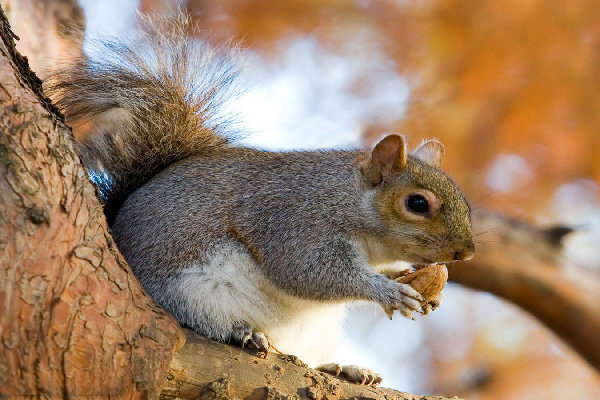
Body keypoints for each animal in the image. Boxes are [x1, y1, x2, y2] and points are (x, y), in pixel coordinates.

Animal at [48, 14, 474, 384]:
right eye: (417, 204)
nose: (466, 252)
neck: (349, 202)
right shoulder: (295, 220)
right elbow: (308, 271)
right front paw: (387, 291)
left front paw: (414, 284)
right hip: (189, 292)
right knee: (204, 321)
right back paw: (243, 332)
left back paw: (342, 368)